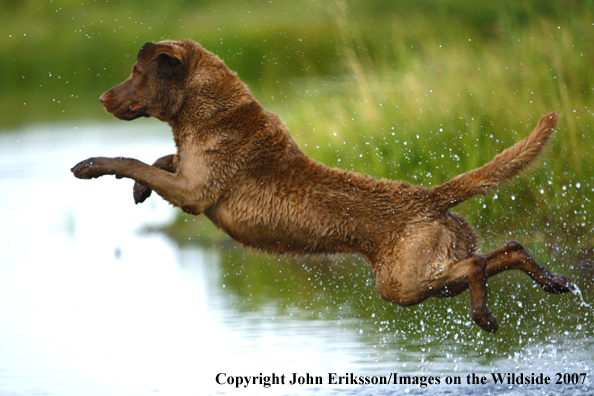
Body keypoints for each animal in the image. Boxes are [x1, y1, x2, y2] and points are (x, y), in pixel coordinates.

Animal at [70, 40, 572, 332]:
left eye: (137, 74)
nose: (102, 97)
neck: (204, 110)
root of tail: (429, 197)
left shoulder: (195, 193)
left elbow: (135, 161)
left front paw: (92, 165)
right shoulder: (188, 173)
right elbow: (161, 161)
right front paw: (138, 190)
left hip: (403, 283)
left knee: (477, 265)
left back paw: (485, 315)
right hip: (431, 267)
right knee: (507, 250)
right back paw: (554, 281)